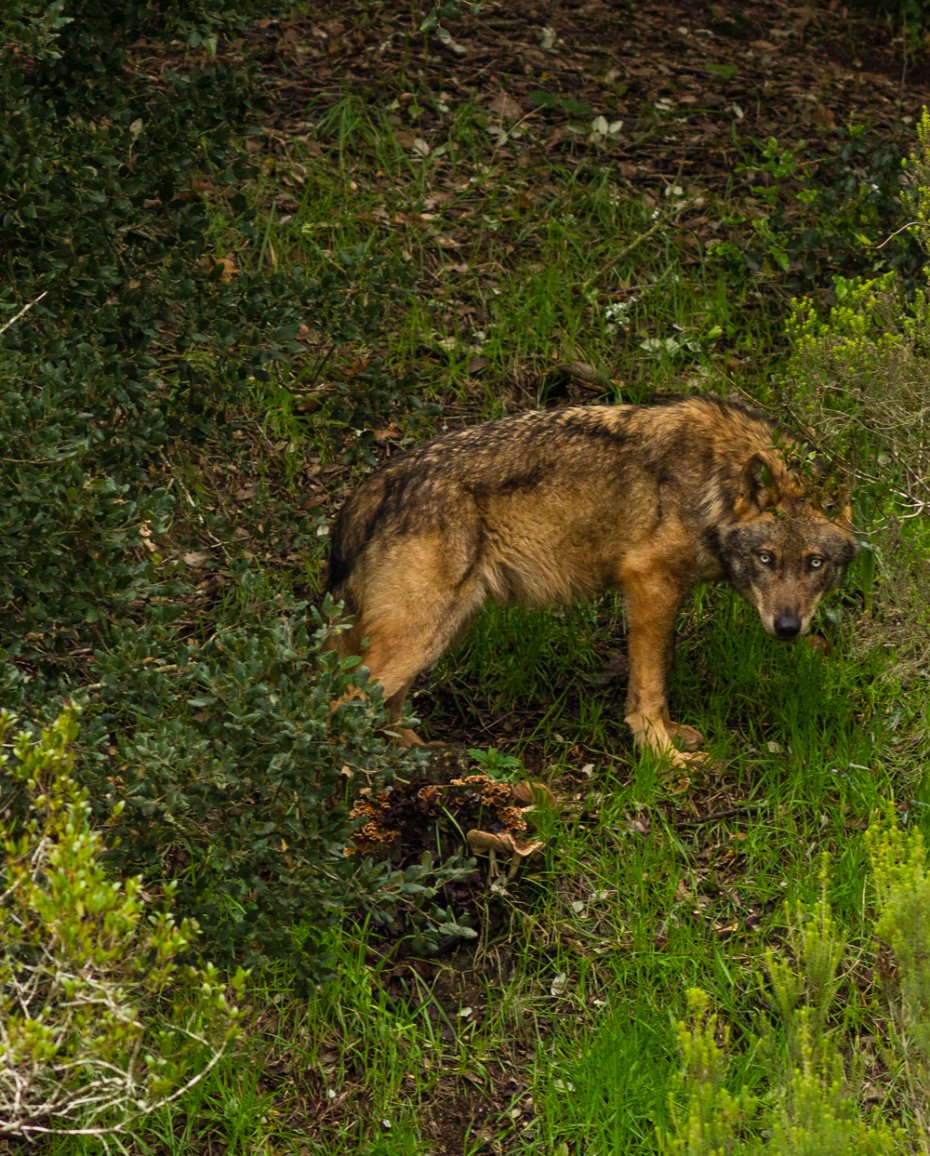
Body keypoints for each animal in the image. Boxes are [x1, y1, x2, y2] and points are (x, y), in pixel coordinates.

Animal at [325, 396, 857, 767]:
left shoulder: (666, 594)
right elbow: (649, 686)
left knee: (385, 704)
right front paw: (664, 756)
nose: (788, 628)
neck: (713, 488)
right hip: (421, 634)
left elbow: (660, 671)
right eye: (766, 558)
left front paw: (671, 734)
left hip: (446, 628)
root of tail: (381, 480)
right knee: (338, 702)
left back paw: (406, 755)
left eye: (813, 563)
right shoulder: (648, 583)